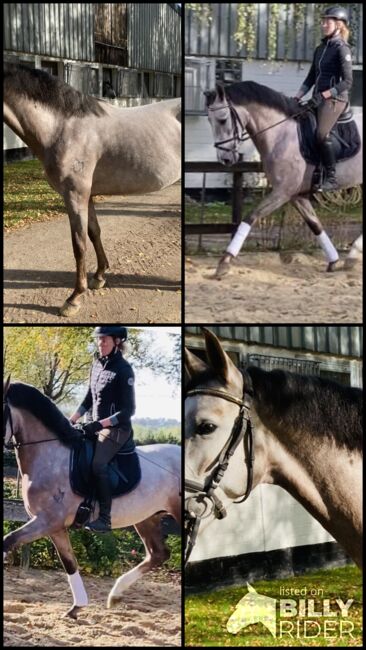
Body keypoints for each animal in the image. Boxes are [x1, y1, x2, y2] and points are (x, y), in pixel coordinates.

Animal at [2, 64, 180, 316]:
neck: (62, 127)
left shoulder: (75, 196)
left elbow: (79, 244)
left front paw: (74, 298)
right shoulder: (88, 196)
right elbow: (94, 233)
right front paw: (99, 276)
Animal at [204, 81, 362, 276]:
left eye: (223, 119)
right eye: (209, 120)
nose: (225, 159)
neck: (281, 134)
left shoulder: (283, 192)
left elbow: (251, 216)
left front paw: (224, 262)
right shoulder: (296, 195)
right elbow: (315, 224)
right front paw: (333, 261)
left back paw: (354, 254)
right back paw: (352, 256)